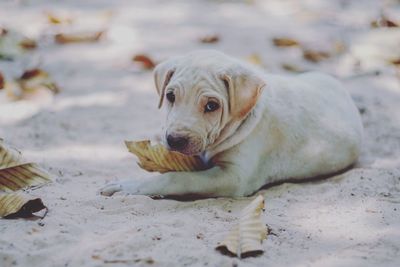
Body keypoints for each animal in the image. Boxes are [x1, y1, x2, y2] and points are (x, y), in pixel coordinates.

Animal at [100, 50, 362, 198]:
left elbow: (177, 178)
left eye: (211, 106)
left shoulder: (234, 177)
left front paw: (129, 186)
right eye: (170, 96)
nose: (174, 140)